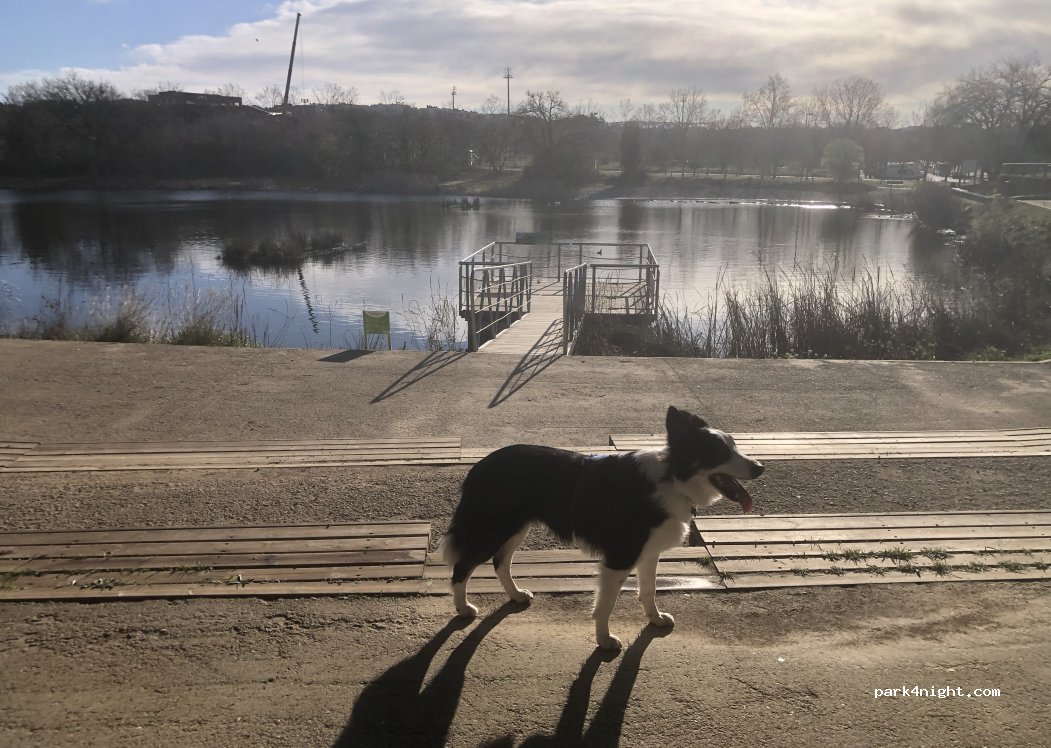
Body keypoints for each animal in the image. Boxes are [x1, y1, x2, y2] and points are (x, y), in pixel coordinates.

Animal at [442, 406, 764, 650]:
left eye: (734, 446)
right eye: (719, 452)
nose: (760, 467)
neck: (673, 479)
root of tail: (480, 466)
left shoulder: (649, 552)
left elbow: (649, 590)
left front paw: (655, 619)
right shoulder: (619, 557)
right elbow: (605, 605)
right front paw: (604, 640)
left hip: (515, 527)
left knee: (501, 562)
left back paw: (516, 595)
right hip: (493, 529)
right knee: (462, 567)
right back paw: (463, 609)